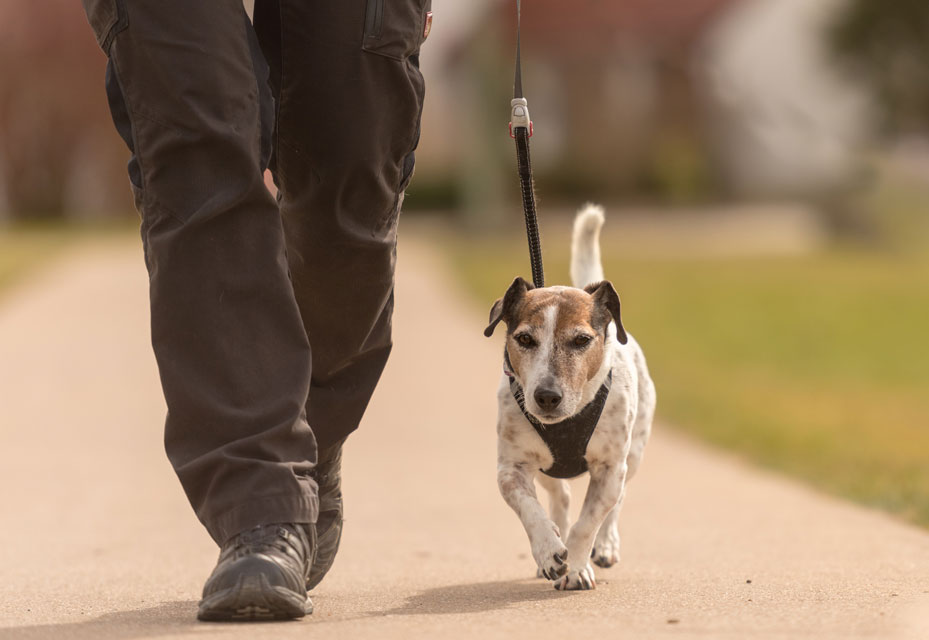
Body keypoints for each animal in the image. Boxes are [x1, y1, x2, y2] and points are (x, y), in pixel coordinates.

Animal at [482, 204, 656, 592]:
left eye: (581, 340)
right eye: (525, 339)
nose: (547, 396)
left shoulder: (610, 468)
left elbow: (588, 522)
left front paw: (576, 566)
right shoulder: (511, 468)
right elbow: (531, 510)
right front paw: (549, 551)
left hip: (634, 455)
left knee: (616, 503)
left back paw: (605, 546)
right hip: (547, 469)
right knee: (559, 497)